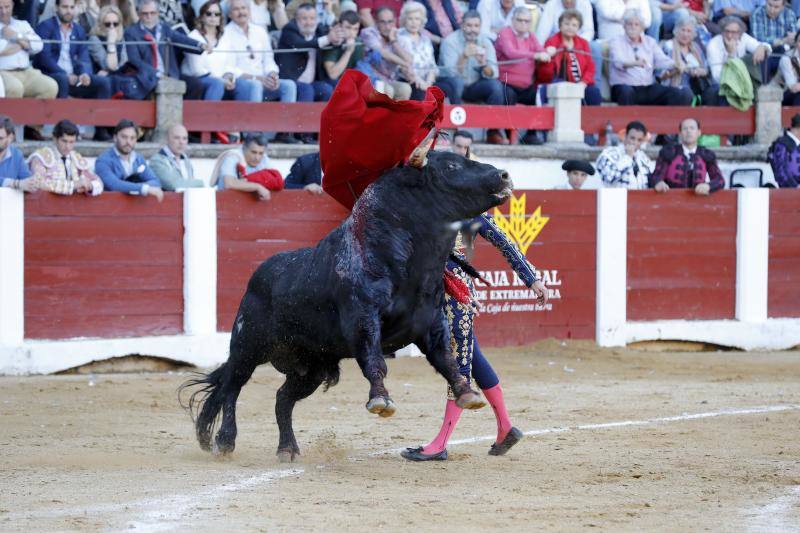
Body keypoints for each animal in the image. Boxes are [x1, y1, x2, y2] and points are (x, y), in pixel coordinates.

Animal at [180, 151, 512, 462]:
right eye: (451, 166)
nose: (504, 175)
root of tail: (258, 277)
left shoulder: (430, 325)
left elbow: (447, 360)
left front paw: (467, 393)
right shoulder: (363, 320)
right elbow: (374, 360)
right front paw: (381, 401)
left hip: (310, 368)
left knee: (281, 398)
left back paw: (287, 448)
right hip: (248, 345)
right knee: (231, 387)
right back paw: (225, 441)